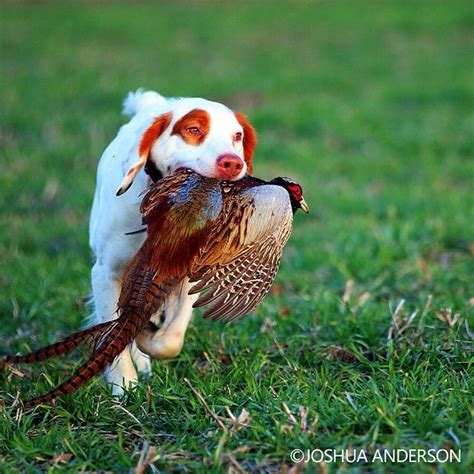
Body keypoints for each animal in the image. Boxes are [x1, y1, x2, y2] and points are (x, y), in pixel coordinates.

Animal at [90, 90, 258, 394]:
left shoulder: (187, 273)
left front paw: (148, 343)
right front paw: (124, 386)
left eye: (237, 136)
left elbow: (171, 338)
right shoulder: (106, 272)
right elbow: (112, 337)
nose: (232, 163)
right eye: (193, 130)